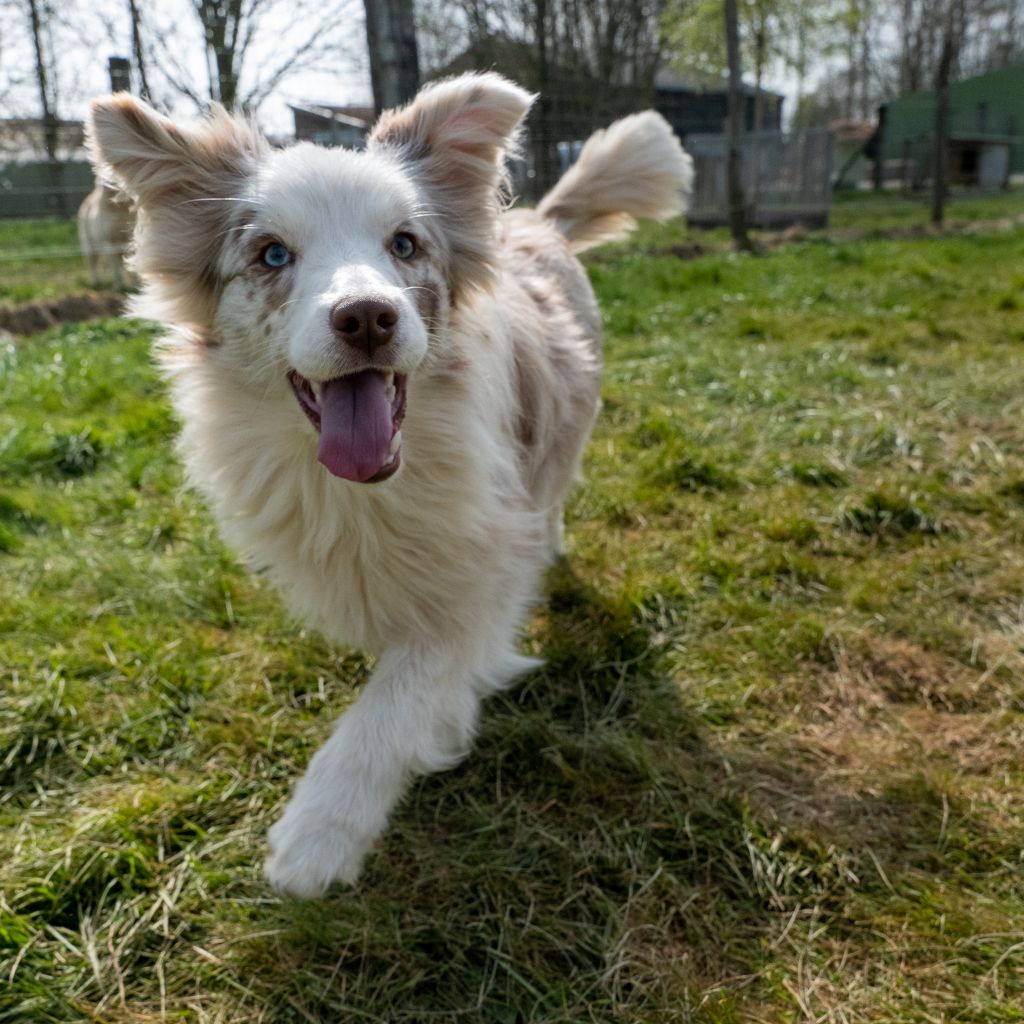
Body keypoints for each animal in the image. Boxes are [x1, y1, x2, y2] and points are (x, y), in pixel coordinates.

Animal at [88, 75, 692, 897]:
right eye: (271, 254)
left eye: (404, 244)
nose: (367, 316)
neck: (366, 488)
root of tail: (538, 220)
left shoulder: (488, 558)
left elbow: (401, 690)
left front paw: (317, 838)